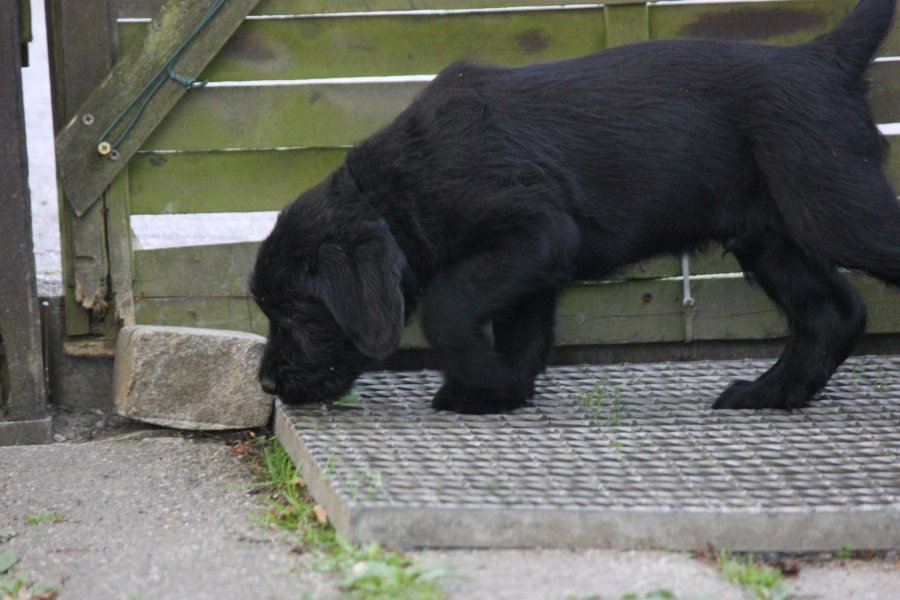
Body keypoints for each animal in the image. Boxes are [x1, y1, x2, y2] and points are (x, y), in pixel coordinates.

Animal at [251, 0, 900, 412]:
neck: (395, 191)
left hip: (837, 207)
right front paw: (498, 392)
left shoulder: (532, 232)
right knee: (833, 313)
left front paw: (481, 377)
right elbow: (524, 330)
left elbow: (448, 307)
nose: (266, 385)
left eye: (296, 315)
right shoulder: (532, 263)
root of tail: (823, 58)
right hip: (772, 236)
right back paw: (770, 394)